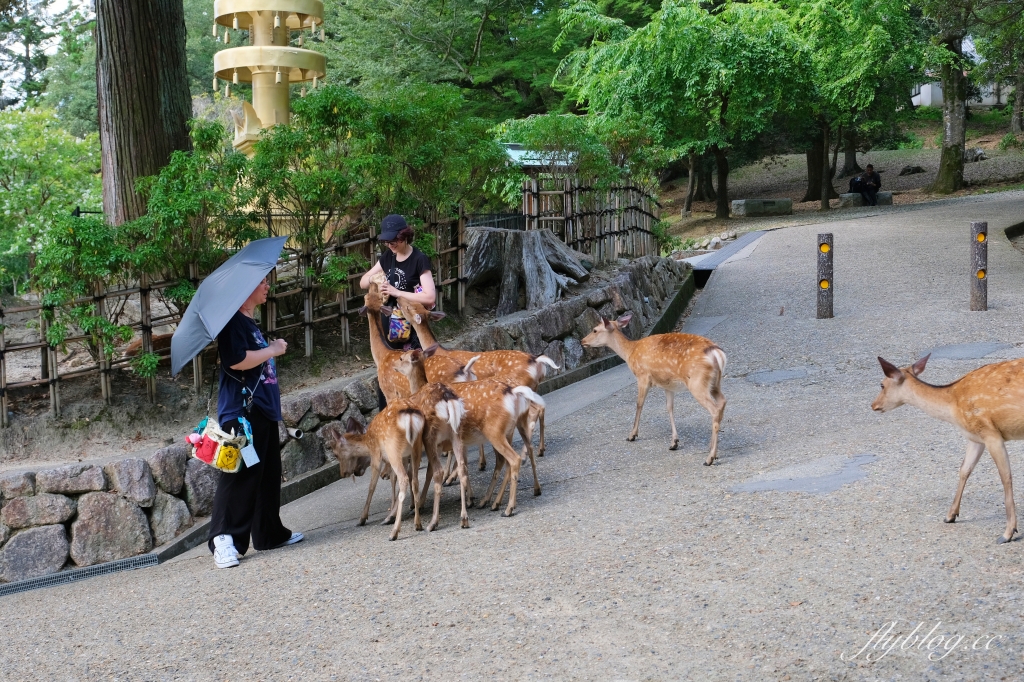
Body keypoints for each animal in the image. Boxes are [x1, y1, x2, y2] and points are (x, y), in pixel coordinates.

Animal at [581, 311, 724, 462]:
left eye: (595, 330)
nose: (582, 341)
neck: (630, 352)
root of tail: (717, 353)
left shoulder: (642, 376)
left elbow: (639, 404)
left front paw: (632, 435)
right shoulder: (668, 384)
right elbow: (669, 408)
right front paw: (674, 442)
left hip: (697, 382)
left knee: (715, 409)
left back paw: (710, 458)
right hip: (714, 383)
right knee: (722, 403)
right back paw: (711, 448)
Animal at [872, 352, 1024, 544]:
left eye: (882, 384)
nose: (873, 405)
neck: (952, 406)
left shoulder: (991, 433)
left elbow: (1006, 477)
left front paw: (1008, 533)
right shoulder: (976, 437)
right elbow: (964, 469)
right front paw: (950, 515)